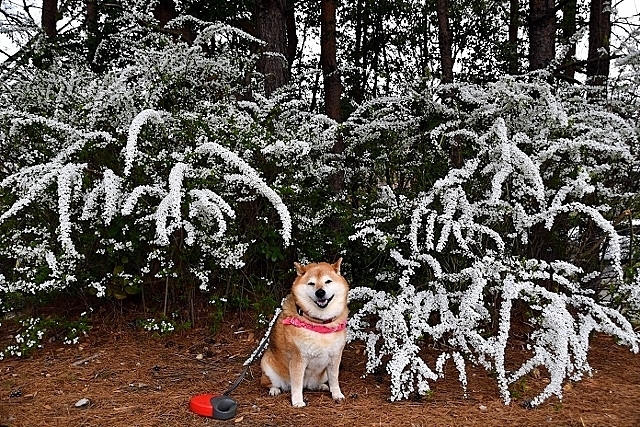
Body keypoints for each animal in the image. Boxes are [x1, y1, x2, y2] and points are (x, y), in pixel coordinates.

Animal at [262, 258, 350, 408]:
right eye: (311, 283)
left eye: (328, 281)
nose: (320, 292)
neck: (320, 323)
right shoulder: (298, 359)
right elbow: (297, 384)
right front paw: (297, 401)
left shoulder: (335, 357)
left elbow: (334, 379)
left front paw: (337, 394)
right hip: (266, 363)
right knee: (270, 383)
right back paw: (274, 390)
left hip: (322, 374)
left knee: (314, 384)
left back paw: (321, 386)